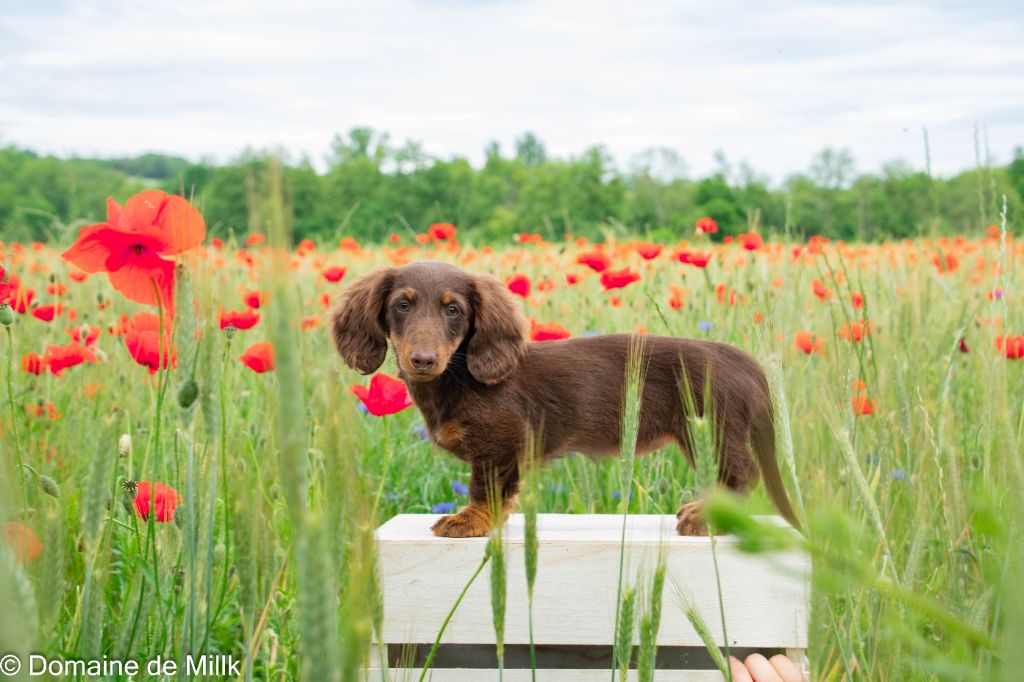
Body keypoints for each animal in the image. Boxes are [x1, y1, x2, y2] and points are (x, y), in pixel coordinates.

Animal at [329, 260, 798, 536]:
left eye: (453, 309)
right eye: (402, 305)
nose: (423, 359)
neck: (459, 378)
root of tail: (749, 364)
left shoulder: (501, 445)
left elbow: (485, 489)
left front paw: (471, 520)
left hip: (713, 431)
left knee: (742, 474)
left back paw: (708, 517)